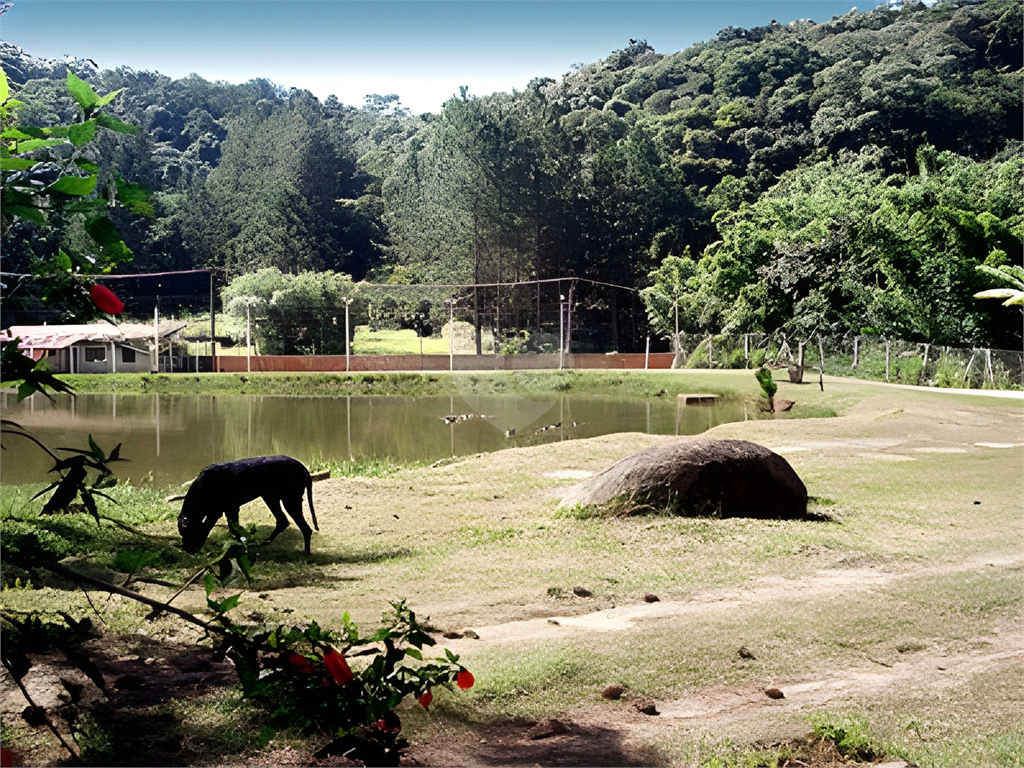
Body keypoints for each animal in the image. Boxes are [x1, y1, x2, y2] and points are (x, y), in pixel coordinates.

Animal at [176, 454, 317, 557]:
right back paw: (265, 542)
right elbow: (234, 529)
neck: (202, 488)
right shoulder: (229, 510)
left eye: (188, 533)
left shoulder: (219, 512)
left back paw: (306, 552)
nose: (187, 550)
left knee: (305, 528)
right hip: (271, 498)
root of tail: (303, 467)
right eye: (182, 534)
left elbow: (209, 529)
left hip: (290, 500)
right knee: (283, 521)